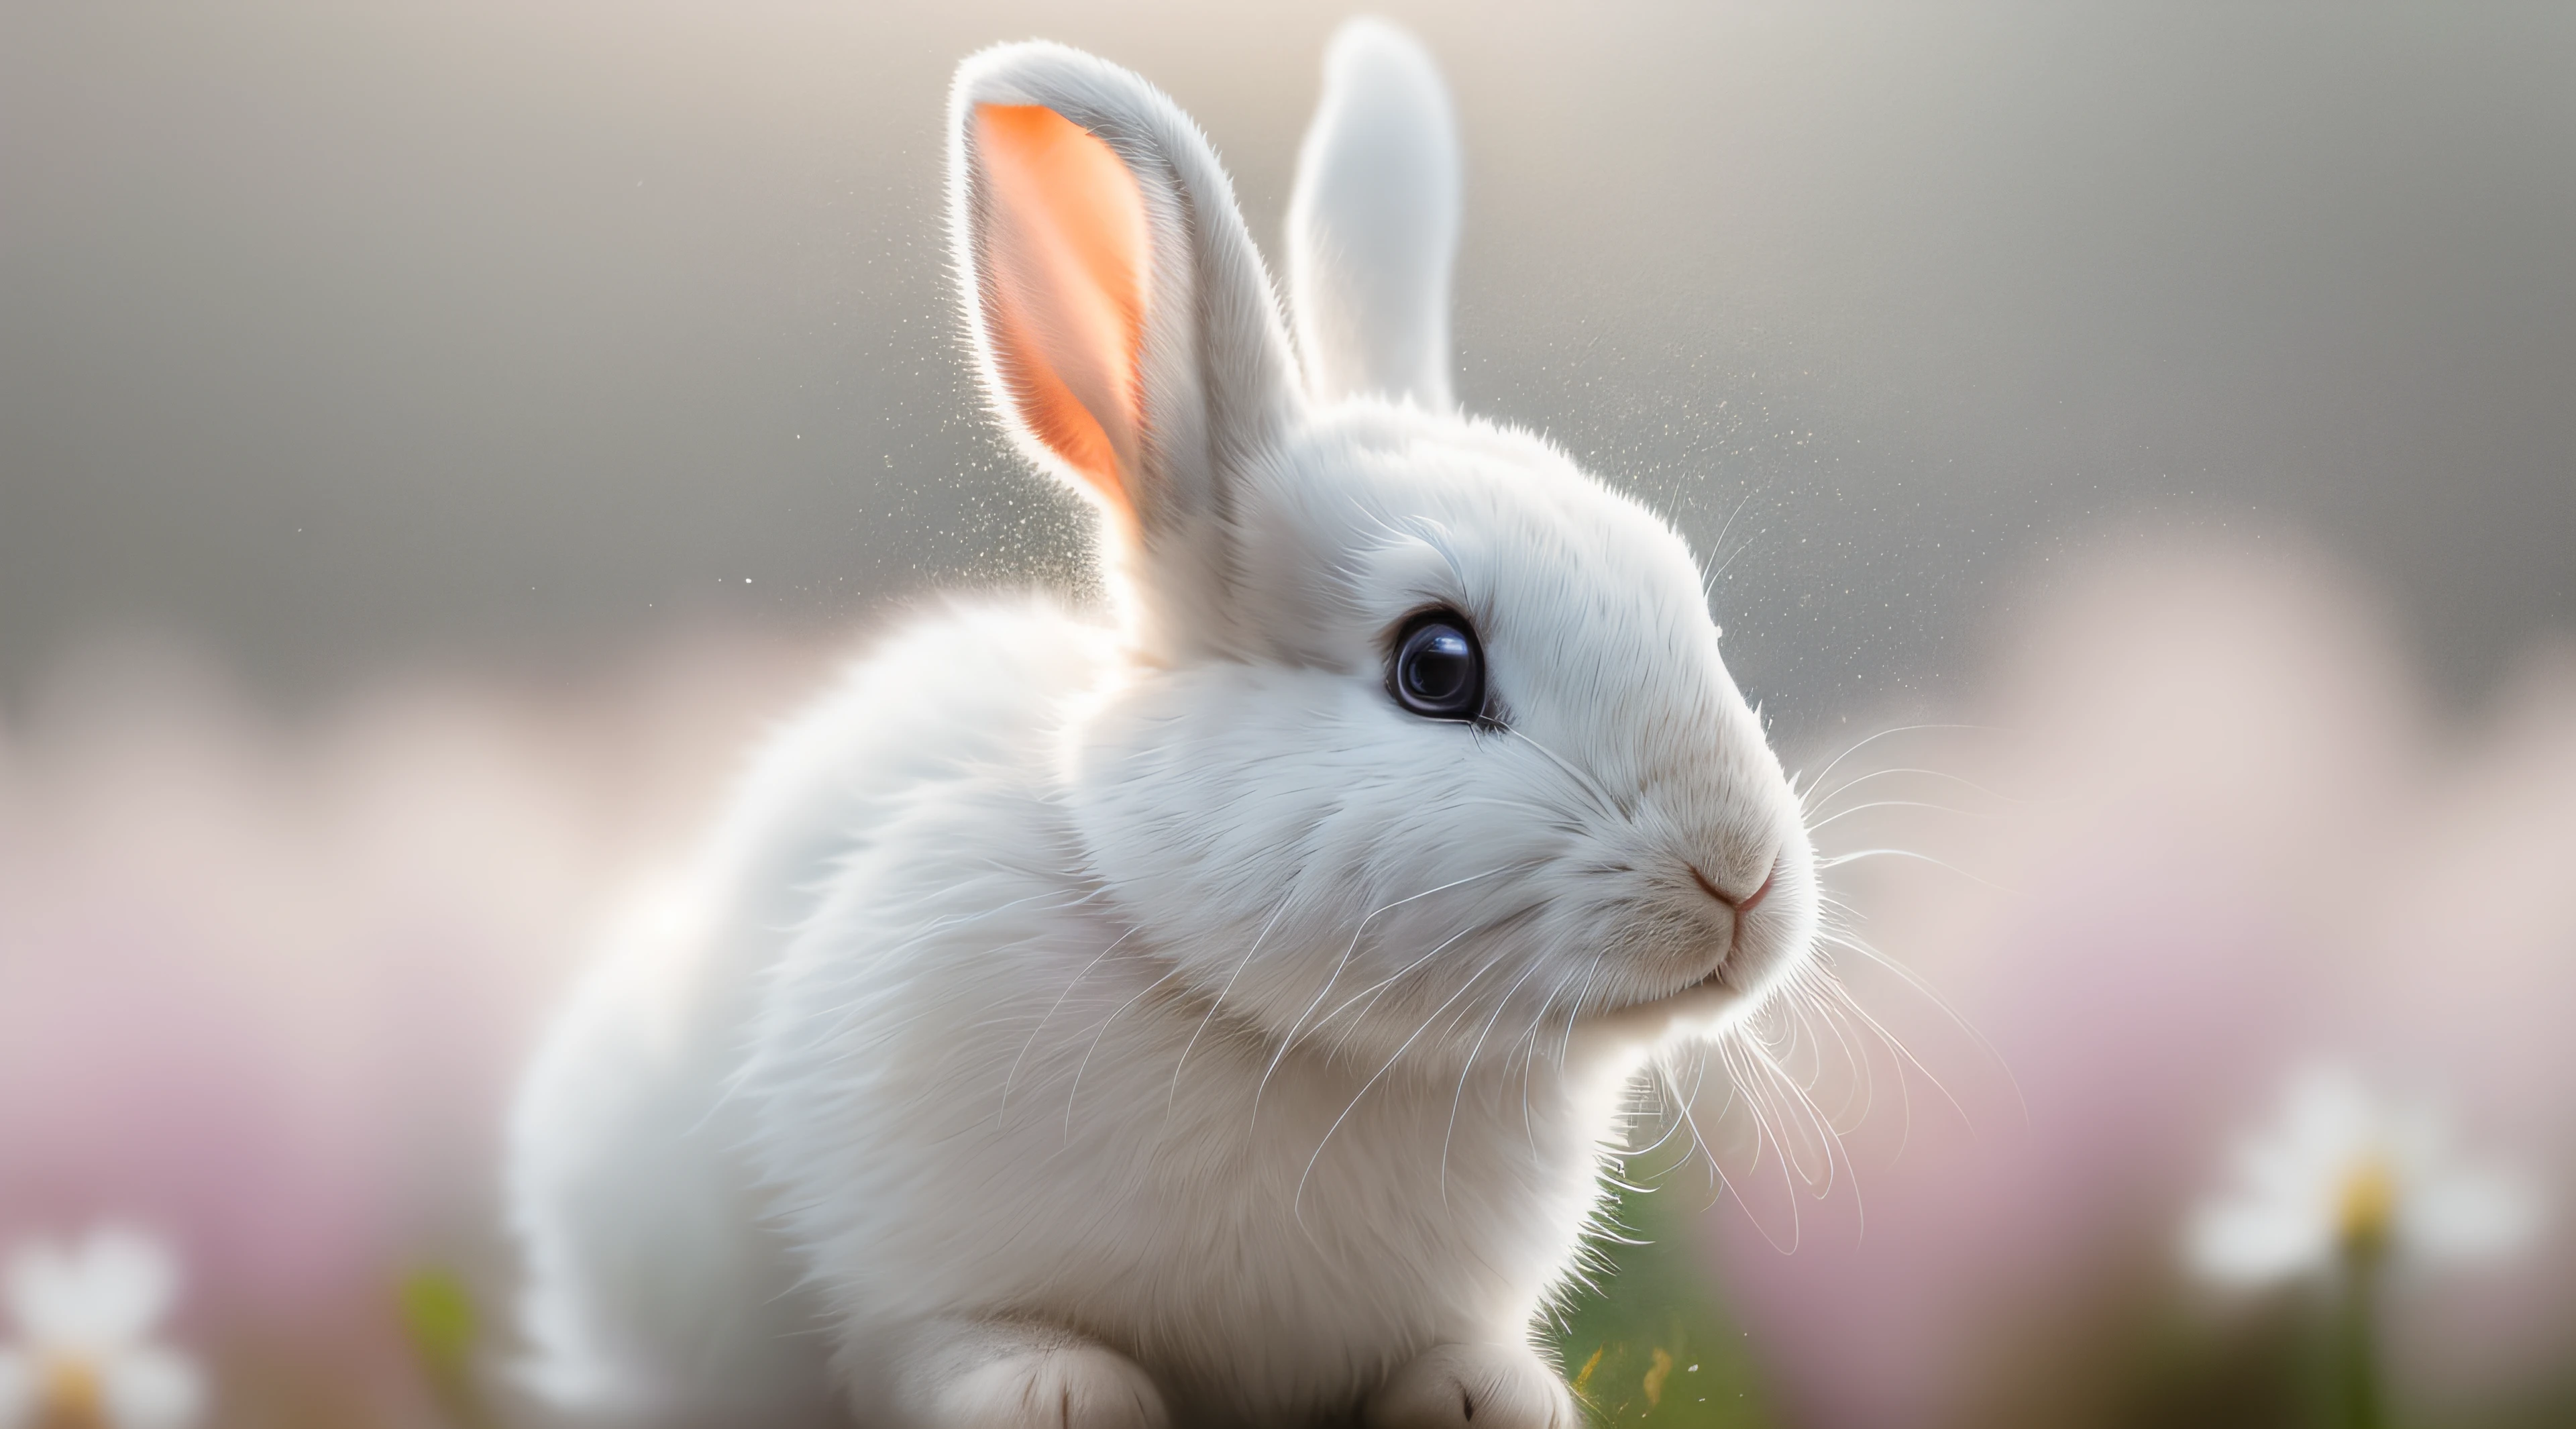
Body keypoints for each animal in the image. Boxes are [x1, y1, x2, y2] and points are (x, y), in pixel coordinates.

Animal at [513, 22, 1823, 1429]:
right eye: (1436, 666)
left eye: (1688, 597)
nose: (1740, 876)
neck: (1304, 1040)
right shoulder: (894, 1255)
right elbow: (932, 1336)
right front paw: (1060, 1397)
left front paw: (1492, 1400)